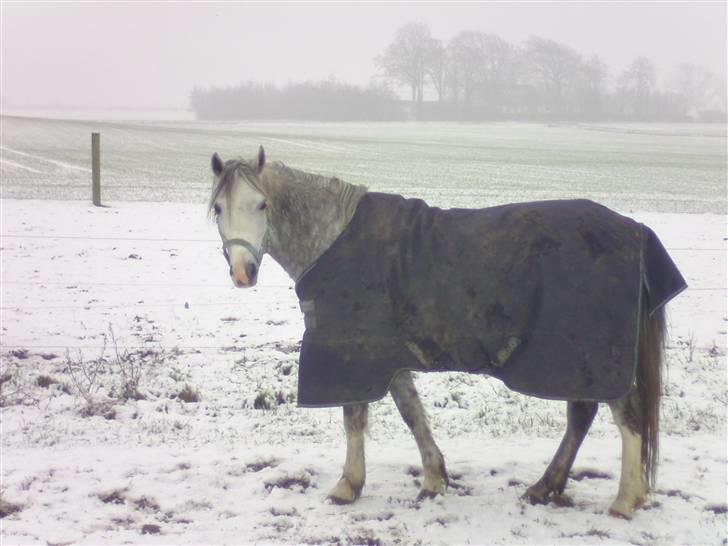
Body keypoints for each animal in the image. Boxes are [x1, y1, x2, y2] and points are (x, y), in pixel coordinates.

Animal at [208, 146, 686, 519]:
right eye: (218, 209)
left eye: (261, 205)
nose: (242, 273)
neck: (333, 237)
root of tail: (634, 229)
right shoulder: (387, 356)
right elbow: (412, 413)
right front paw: (434, 479)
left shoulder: (351, 353)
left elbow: (354, 419)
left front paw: (348, 486)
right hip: (576, 359)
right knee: (583, 416)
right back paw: (544, 487)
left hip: (595, 355)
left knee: (627, 416)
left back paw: (625, 500)